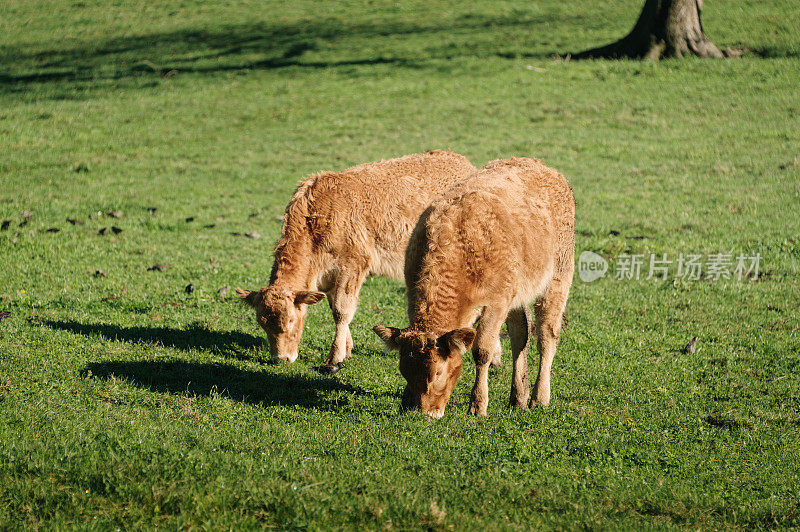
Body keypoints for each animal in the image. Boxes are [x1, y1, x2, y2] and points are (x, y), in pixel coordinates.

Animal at [238, 150, 476, 366]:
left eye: (290, 319)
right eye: (261, 322)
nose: (281, 359)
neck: (316, 221)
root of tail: (461, 161)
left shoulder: (352, 267)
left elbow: (342, 311)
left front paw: (335, 358)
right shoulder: (328, 277)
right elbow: (335, 308)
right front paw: (347, 349)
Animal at [372, 156, 572, 418]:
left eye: (438, 372)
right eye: (404, 370)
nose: (424, 413)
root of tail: (546, 169)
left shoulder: (496, 304)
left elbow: (482, 351)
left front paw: (478, 404)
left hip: (558, 278)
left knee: (547, 337)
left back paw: (539, 397)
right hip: (517, 293)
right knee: (521, 335)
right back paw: (518, 397)